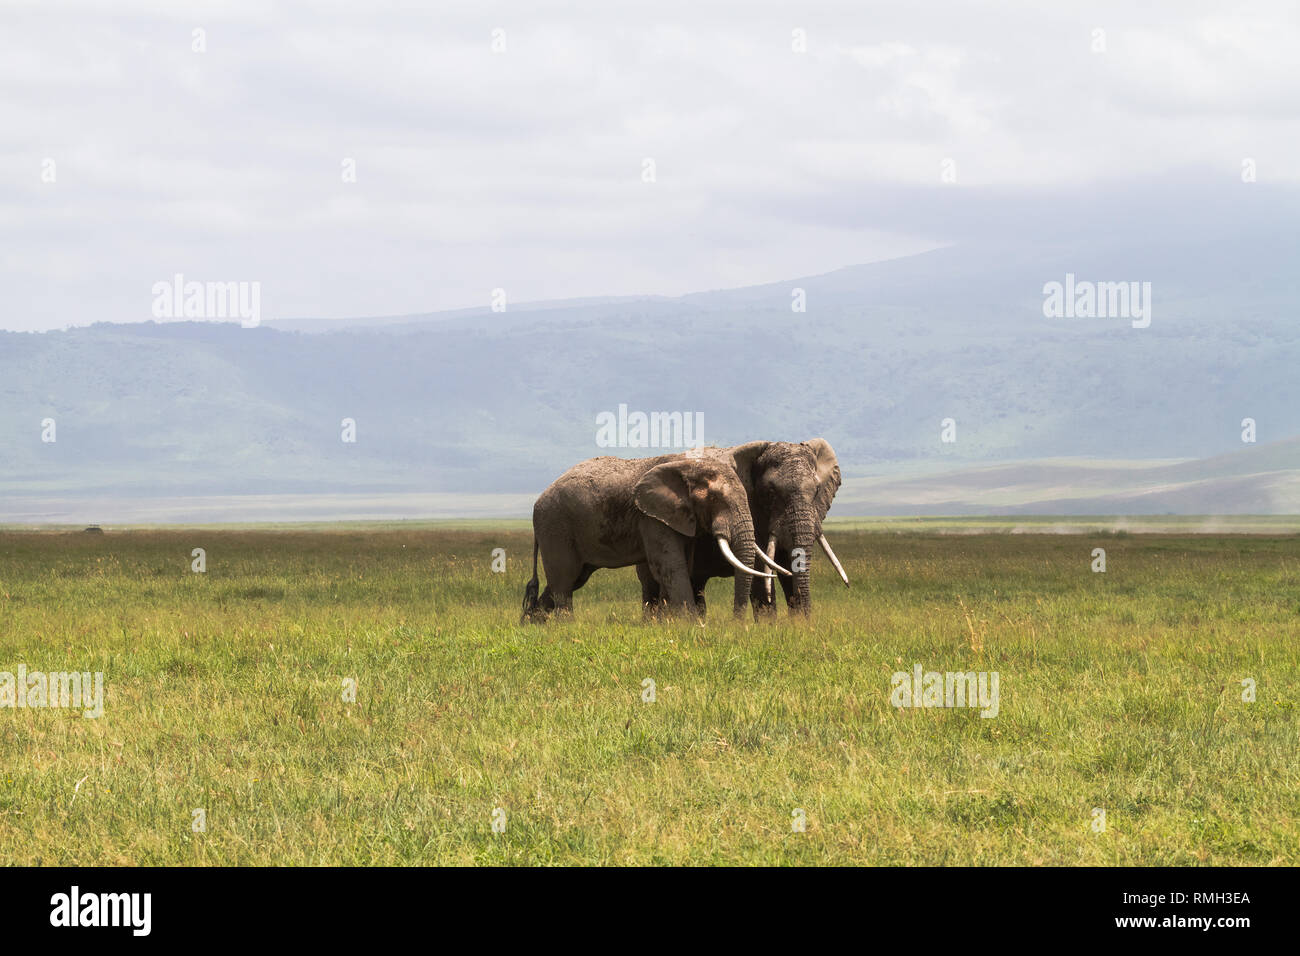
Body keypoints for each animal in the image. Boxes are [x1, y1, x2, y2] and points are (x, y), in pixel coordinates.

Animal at [517, 455, 769, 624]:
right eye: (716, 499)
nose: (737, 624)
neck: (687, 465)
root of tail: (538, 500)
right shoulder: (650, 517)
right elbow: (671, 566)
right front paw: (691, 624)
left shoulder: (678, 517)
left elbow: (679, 566)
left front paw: (669, 623)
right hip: (555, 526)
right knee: (564, 579)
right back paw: (566, 626)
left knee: (571, 579)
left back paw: (531, 624)